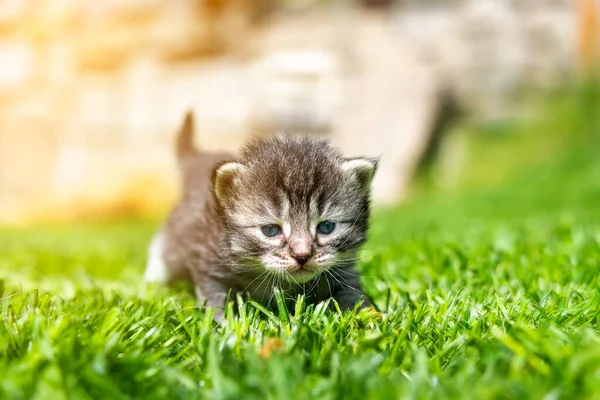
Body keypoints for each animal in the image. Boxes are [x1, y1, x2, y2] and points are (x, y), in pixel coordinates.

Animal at [145, 111, 378, 320]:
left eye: (326, 227)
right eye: (271, 230)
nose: (302, 256)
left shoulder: (344, 269)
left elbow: (351, 293)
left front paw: (365, 318)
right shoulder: (208, 260)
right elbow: (216, 300)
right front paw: (223, 326)